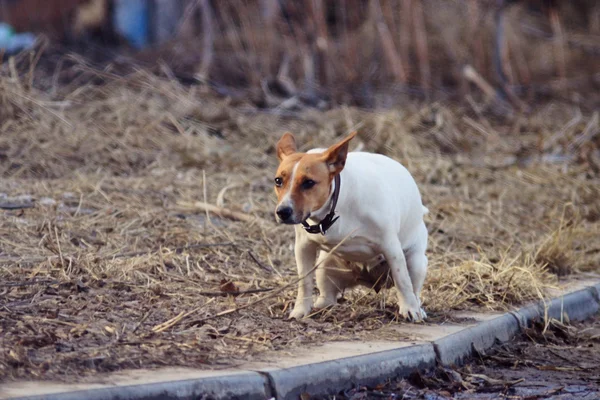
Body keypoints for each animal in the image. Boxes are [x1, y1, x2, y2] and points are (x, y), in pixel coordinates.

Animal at [274, 131, 428, 322]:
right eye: (278, 181)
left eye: (308, 183)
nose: (282, 212)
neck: (335, 208)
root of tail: (369, 280)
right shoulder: (303, 247)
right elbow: (304, 282)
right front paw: (300, 310)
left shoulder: (391, 247)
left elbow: (403, 281)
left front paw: (409, 309)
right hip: (325, 266)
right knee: (328, 294)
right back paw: (321, 306)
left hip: (416, 262)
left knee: (414, 288)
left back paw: (417, 307)